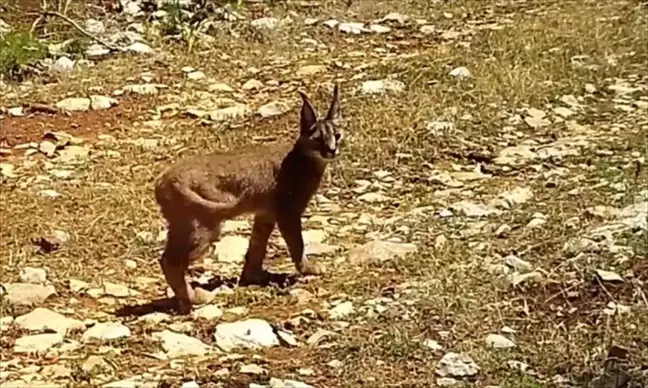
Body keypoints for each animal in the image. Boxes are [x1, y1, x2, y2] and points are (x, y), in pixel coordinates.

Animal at [154, 85, 344, 312]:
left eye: (338, 135)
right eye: (318, 139)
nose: (332, 150)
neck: (303, 159)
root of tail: (163, 178)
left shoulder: (266, 213)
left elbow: (257, 244)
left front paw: (253, 276)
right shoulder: (288, 211)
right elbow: (296, 243)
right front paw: (308, 268)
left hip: (183, 223)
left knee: (166, 257)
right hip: (203, 225)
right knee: (170, 261)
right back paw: (198, 298)